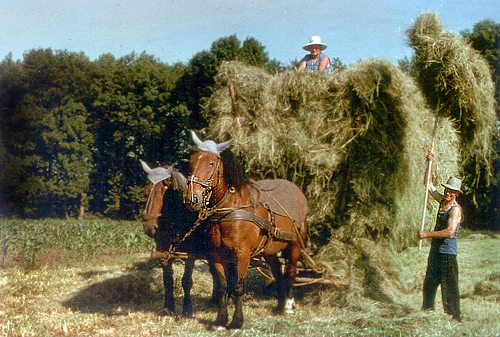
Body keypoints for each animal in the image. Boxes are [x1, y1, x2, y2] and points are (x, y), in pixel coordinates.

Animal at [141, 159, 219, 316]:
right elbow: (168, 280)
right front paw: (168, 308)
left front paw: (187, 309)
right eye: (146, 191)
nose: (149, 227)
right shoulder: (164, 253)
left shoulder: (190, 255)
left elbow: (186, 281)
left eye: (166, 191)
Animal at [186, 131, 306, 328]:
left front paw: (236, 321)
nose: (192, 197)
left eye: (211, 163)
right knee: (277, 272)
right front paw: (220, 320)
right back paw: (280, 305)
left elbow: (238, 286)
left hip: (295, 244)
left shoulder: (242, 253)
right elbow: (222, 286)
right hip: (269, 250)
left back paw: (289, 305)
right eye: (191, 161)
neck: (231, 208)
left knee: (291, 271)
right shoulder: (216, 254)